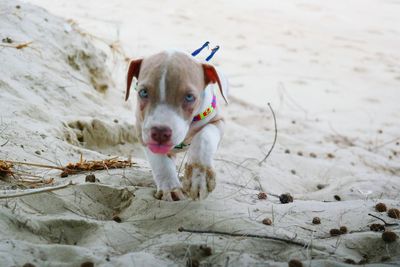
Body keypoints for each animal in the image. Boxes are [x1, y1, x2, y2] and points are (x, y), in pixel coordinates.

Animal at [125, 50, 228, 201]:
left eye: (189, 97)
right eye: (143, 92)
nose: (160, 132)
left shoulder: (217, 121)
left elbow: (204, 138)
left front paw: (198, 176)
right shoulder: (142, 132)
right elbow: (160, 162)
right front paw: (170, 187)